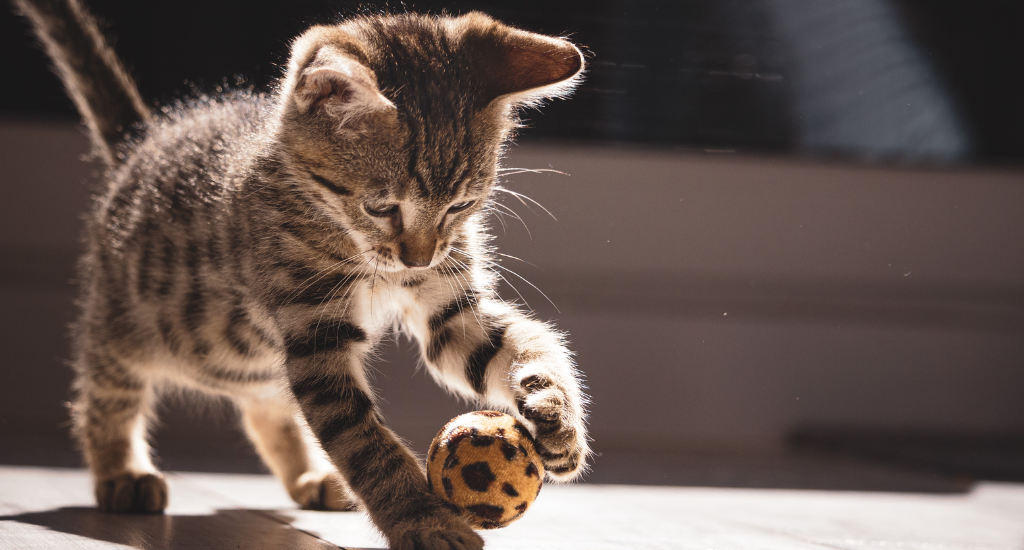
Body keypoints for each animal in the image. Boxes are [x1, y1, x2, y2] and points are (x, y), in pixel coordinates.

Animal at [14, 1, 593, 548]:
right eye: (383, 208)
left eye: (461, 205)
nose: (419, 259)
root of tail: (144, 143)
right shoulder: (315, 335)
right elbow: (362, 440)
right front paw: (423, 519)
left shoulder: (450, 312)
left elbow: (519, 343)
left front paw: (555, 415)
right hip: (125, 326)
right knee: (104, 393)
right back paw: (121, 472)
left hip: (253, 361)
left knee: (267, 407)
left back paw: (312, 478)